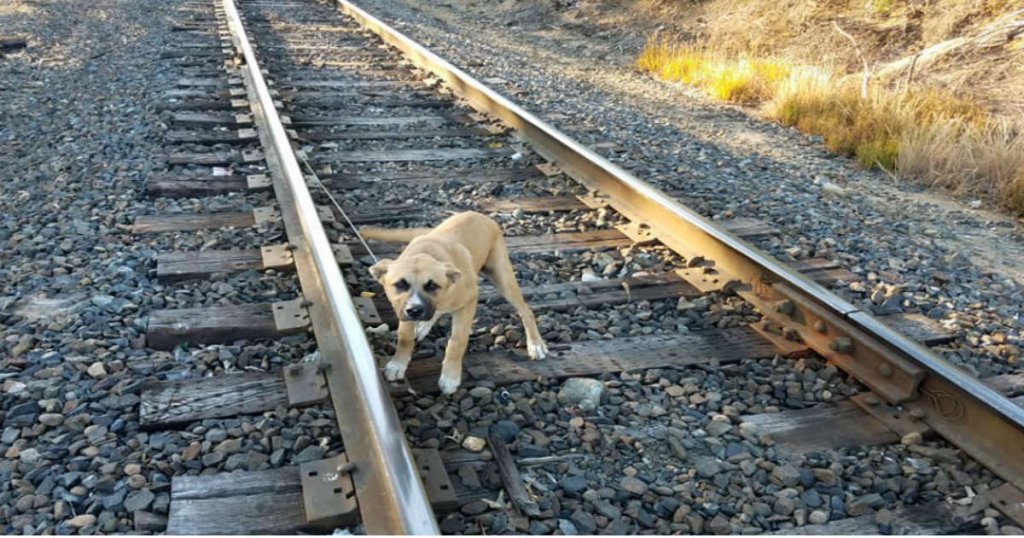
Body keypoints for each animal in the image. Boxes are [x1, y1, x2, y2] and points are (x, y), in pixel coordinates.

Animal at [364, 211, 548, 393]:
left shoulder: (469, 302)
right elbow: (405, 337)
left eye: (432, 285)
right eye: (400, 284)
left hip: (503, 278)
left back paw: (535, 344)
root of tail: (480, 215)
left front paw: (450, 376)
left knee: (525, 310)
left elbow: (457, 341)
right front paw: (398, 364)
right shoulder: (403, 311)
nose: (415, 311)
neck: (427, 253)